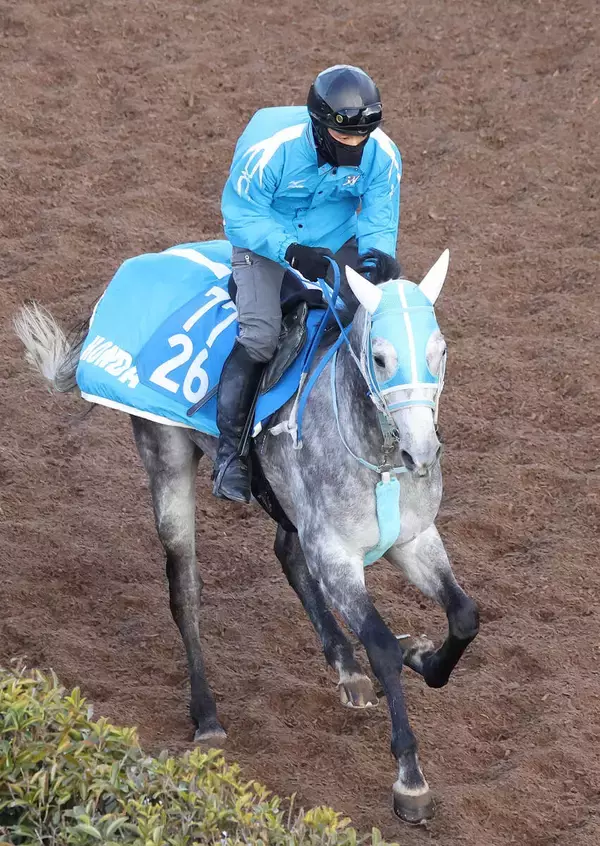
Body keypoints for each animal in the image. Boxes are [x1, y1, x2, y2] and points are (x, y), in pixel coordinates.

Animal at [14, 245, 479, 824]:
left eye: (441, 351)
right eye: (380, 358)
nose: (422, 453)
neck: (378, 458)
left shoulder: (414, 539)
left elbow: (463, 615)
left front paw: (422, 657)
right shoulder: (336, 555)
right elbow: (380, 644)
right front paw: (409, 779)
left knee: (287, 553)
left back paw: (344, 665)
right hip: (166, 459)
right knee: (185, 589)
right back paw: (208, 715)